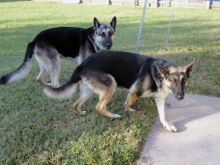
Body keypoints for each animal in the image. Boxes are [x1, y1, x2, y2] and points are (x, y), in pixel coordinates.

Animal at [43, 51, 194, 132]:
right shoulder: (134, 92)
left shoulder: (159, 99)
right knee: (99, 106)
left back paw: (80, 113)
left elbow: (162, 115)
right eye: (172, 80)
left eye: (184, 81)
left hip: (88, 91)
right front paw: (128, 110)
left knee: (75, 104)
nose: (181, 96)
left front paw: (167, 125)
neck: (159, 75)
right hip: (111, 83)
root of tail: (82, 65)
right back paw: (113, 116)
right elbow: (127, 103)